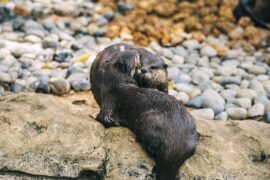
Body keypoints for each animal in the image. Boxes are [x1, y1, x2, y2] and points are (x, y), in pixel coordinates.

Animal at [96, 50, 196, 180]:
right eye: (136, 57)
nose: (137, 51)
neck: (116, 82)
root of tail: (175, 142)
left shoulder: (109, 100)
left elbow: (104, 117)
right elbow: (103, 117)